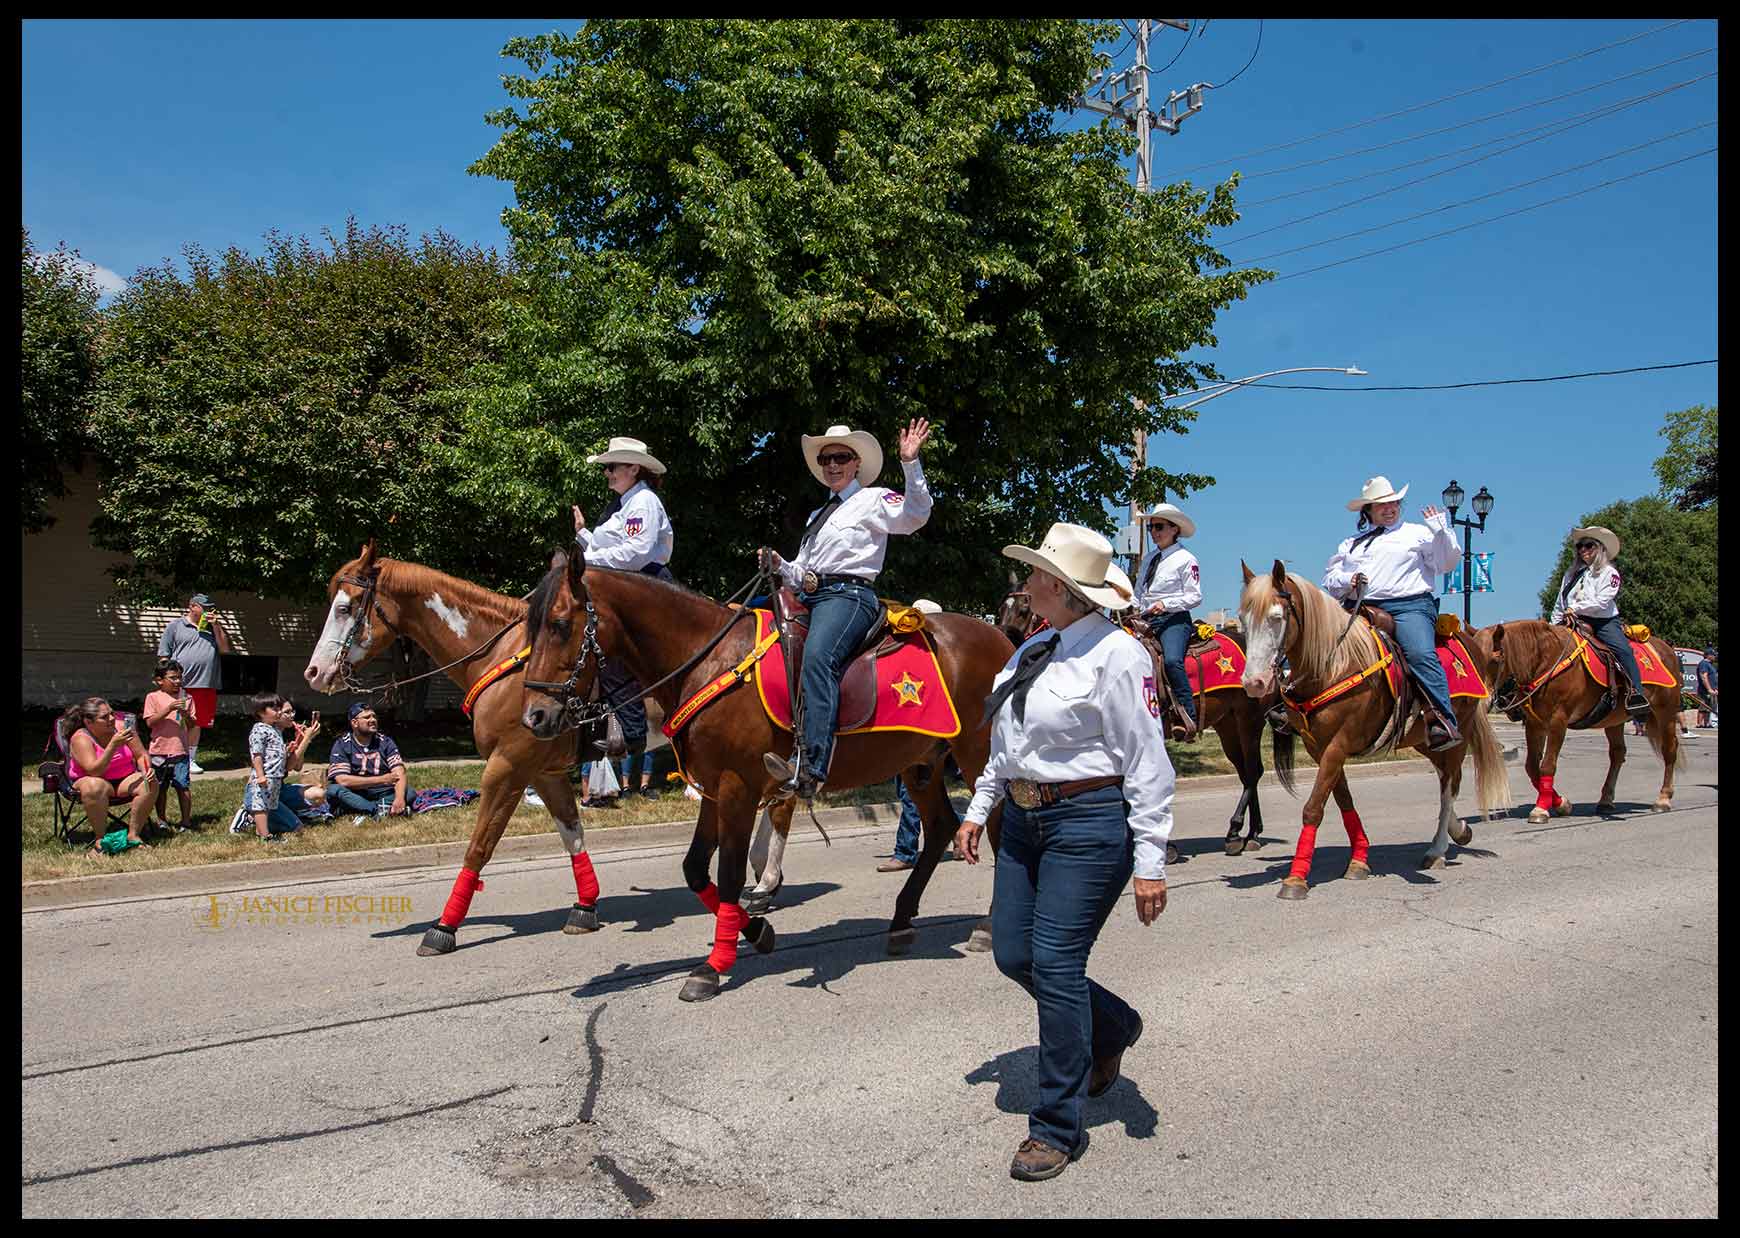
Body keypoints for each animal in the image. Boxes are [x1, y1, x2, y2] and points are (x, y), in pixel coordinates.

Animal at [304, 543, 800, 961]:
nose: (315, 672)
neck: (500, 657)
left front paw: (444, 926)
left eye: (345, 608)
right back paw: (762, 881)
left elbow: (479, 846)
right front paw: (586, 905)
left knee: (781, 807)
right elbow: (571, 832)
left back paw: (765, 882)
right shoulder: (542, 771)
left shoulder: (507, 766)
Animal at [515, 557, 1016, 1002]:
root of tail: (1005, 640)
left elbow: (730, 871)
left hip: (979, 753)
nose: (534, 716)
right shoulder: (713, 787)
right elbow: (695, 870)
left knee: (996, 826)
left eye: (560, 624)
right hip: (920, 762)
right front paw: (755, 931)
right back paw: (901, 922)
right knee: (941, 827)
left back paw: (988, 926)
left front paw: (712, 967)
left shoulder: (738, 785)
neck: (708, 659)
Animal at [1238, 560, 1510, 898]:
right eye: (1243, 620)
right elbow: (1343, 802)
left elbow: (1314, 807)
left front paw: (1296, 879)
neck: (1333, 665)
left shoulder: (1338, 744)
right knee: (1442, 776)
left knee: (1450, 785)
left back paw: (1437, 850)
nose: (1254, 683)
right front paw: (1359, 860)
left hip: (1457, 736)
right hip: (1423, 738)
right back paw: (1459, 830)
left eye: (1276, 618)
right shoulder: (1320, 748)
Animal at [1468, 619, 1684, 821]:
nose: (1482, 699)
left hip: (1665, 711)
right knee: (1617, 754)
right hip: (1614, 720)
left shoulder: (1558, 721)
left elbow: (1547, 765)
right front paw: (1561, 803)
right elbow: (1532, 767)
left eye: (1495, 659)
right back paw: (1606, 800)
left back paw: (1663, 799)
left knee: (1669, 750)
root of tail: (1667, 649)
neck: (1546, 661)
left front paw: (1541, 809)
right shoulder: (1535, 724)